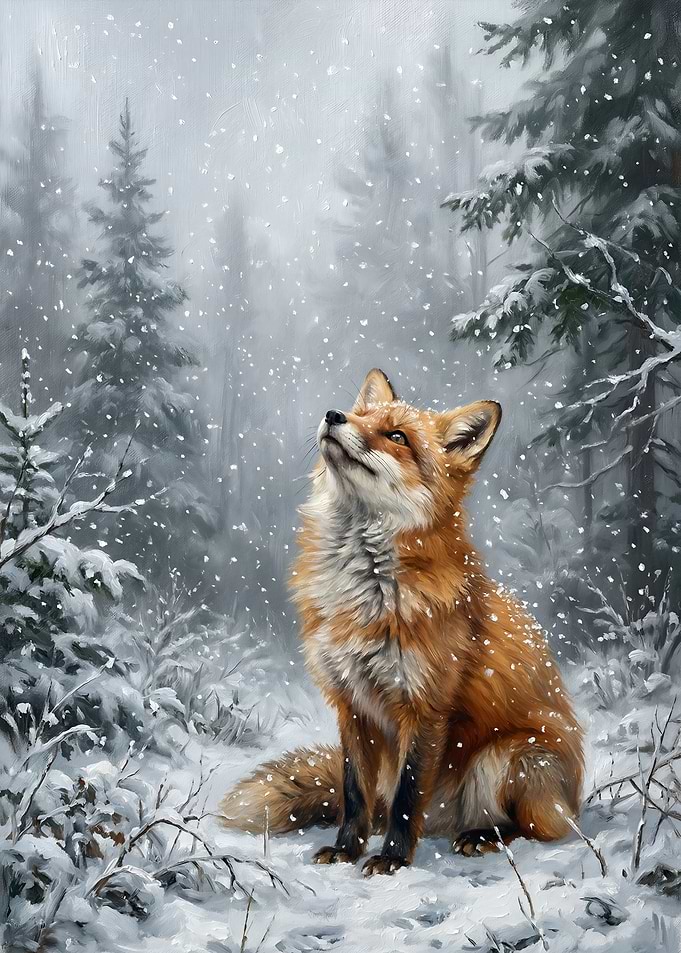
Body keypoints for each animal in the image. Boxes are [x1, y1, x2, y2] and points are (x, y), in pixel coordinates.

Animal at [220, 368, 584, 877]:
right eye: (360, 416)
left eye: (397, 437)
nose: (334, 415)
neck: (365, 595)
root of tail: (573, 798)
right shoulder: (351, 703)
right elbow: (353, 792)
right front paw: (347, 849)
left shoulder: (424, 705)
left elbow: (408, 797)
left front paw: (391, 858)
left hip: (509, 758)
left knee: (541, 829)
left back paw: (481, 835)